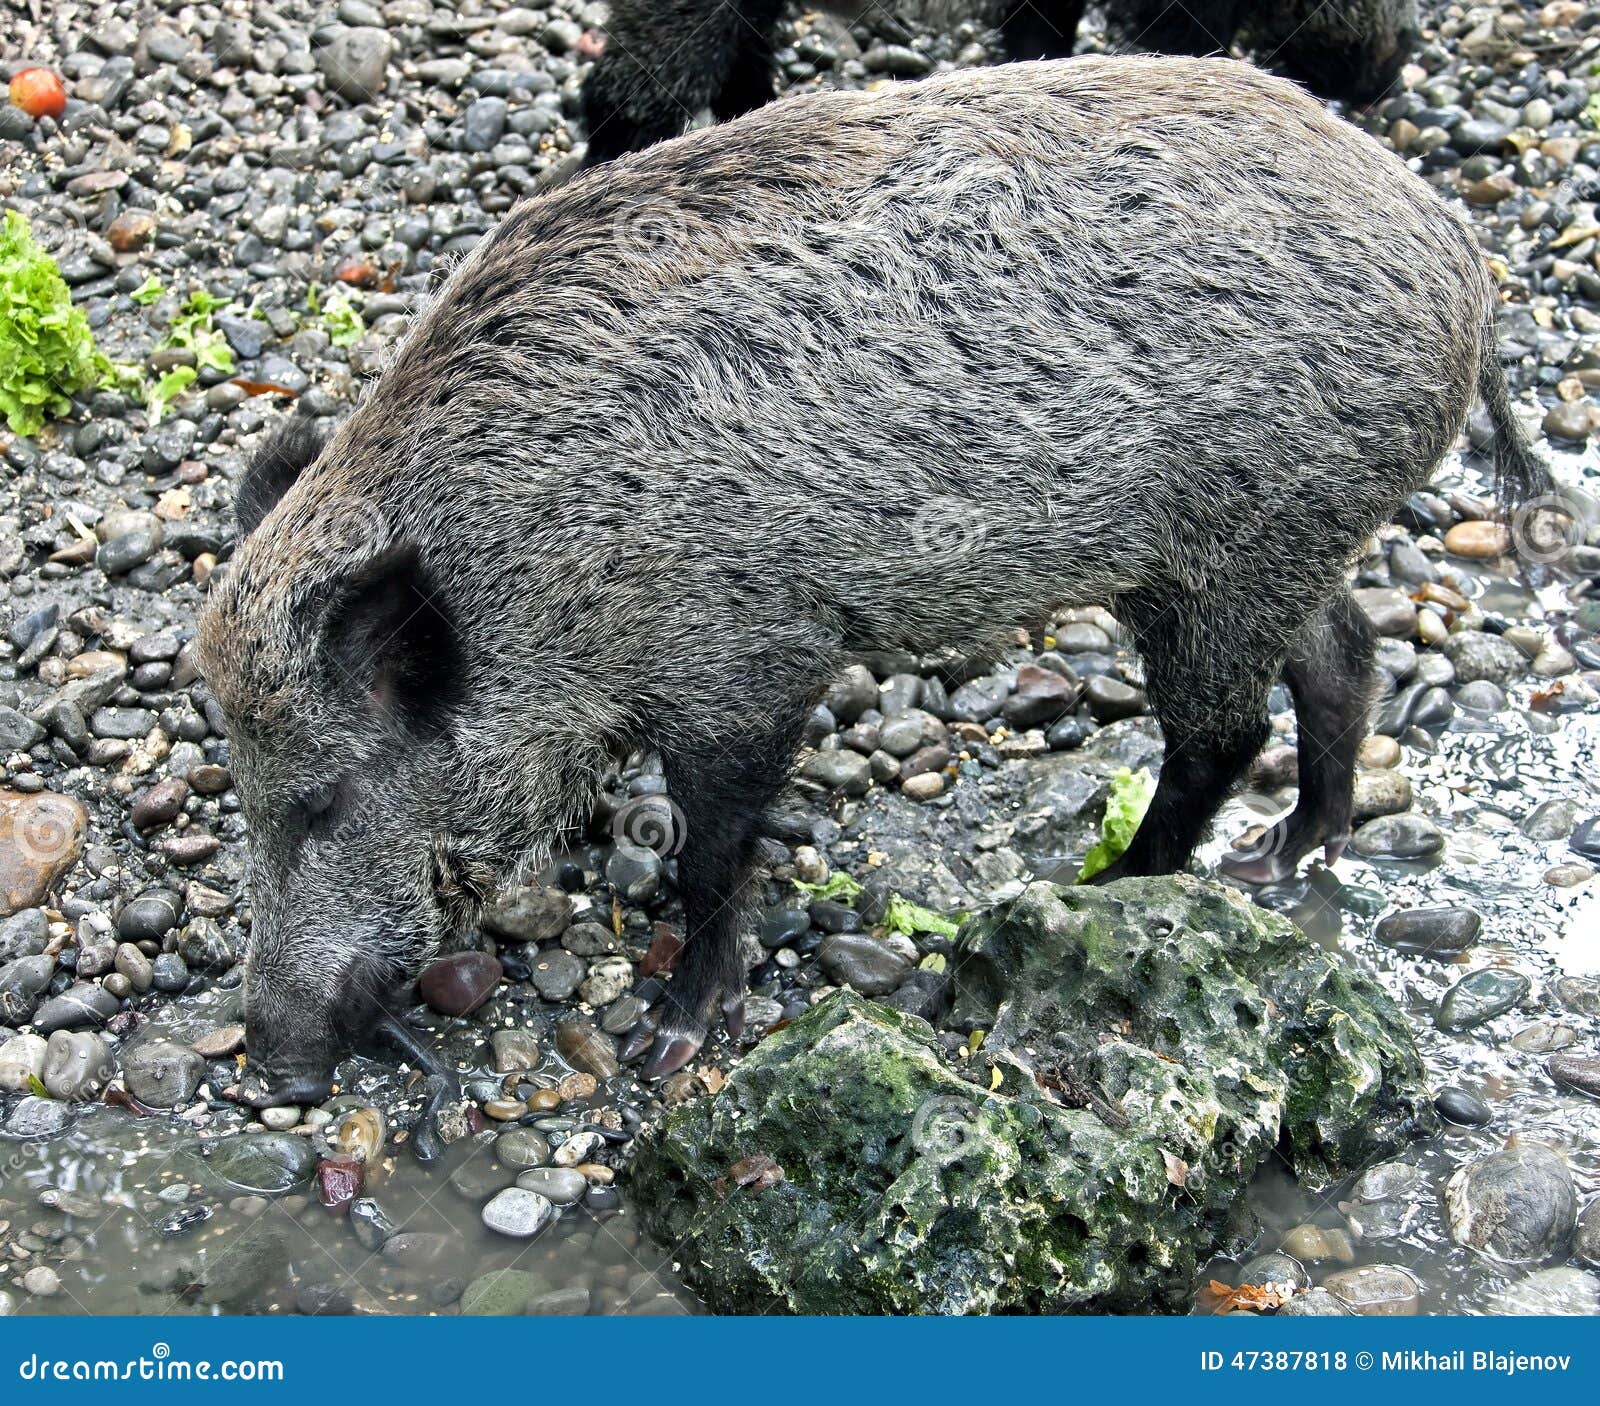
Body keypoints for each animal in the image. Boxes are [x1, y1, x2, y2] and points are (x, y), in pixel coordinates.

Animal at [197, 56, 1548, 1098]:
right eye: (245, 794)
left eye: (320, 800)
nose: (275, 1063)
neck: (529, 557)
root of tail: (1463, 257)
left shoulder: (747, 658)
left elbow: (712, 853)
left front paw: (673, 1043)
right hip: (1269, 547)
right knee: (1344, 654)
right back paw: (1287, 853)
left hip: (1224, 555)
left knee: (1223, 729)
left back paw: (1108, 883)